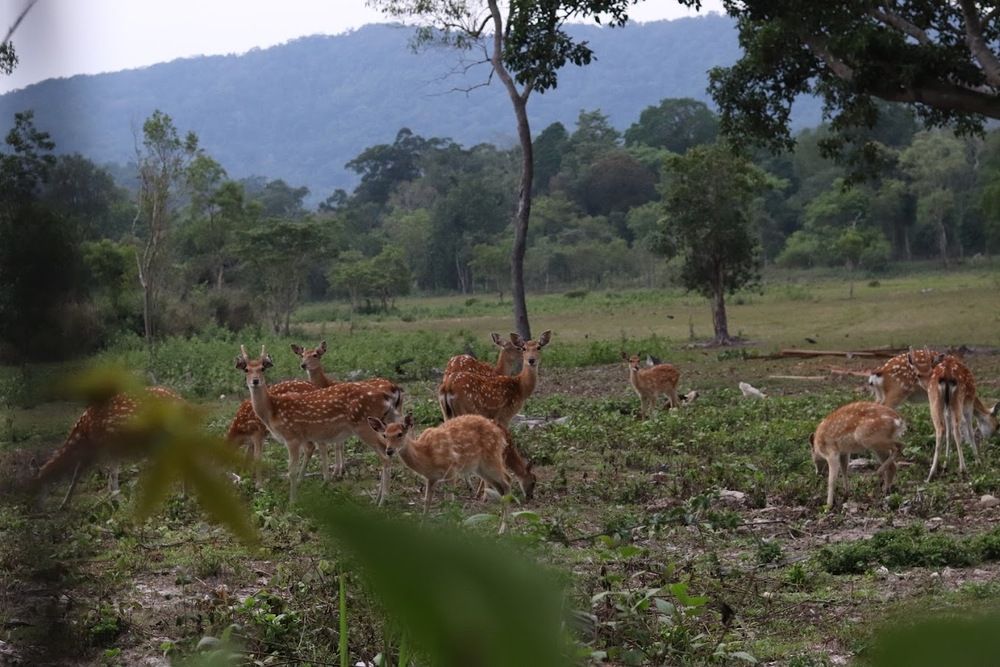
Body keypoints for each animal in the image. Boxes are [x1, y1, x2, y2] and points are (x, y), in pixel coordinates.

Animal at [36, 386, 184, 512]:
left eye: (37, 484)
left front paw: (117, 503)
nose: (37, 506)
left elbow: (111, 473)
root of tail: (181, 400)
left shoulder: (107, 445)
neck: (83, 432)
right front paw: (64, 505)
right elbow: (78, 475)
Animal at [236, 348, 400, 504]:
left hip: (364, 425)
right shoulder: (302, 437)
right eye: (246, 369)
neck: (273, 411)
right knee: (387, 452)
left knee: (385, 456)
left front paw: (292, 501)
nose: (255, 381)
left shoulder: (292, 436)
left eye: (262, 368)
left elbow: (291, 470)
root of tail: (385, 396)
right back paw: (378, 498)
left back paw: (383, 500)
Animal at [366, 412, 512, 532]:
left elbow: (449, 500)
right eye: (384, 435)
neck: (426, 455)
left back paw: (503, 529)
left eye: (400, 434)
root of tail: (501, 433)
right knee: (501, 487)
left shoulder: (452, 470)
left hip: (492, 457)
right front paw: (422, 527)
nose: (389, 450)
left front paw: (450, 527)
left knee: (507, 480)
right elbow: (427, 502)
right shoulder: (431, 477)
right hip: (480, 467)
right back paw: (501, 526)